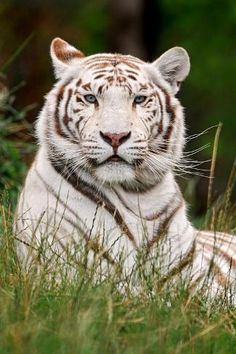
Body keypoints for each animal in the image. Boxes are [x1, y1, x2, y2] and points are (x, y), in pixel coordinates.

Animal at [15, 37, 236, 302]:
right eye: (90, 98)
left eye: (139, 99)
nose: (115, 136)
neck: (138, 197)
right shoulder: (71, 272)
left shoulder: (197, 279)